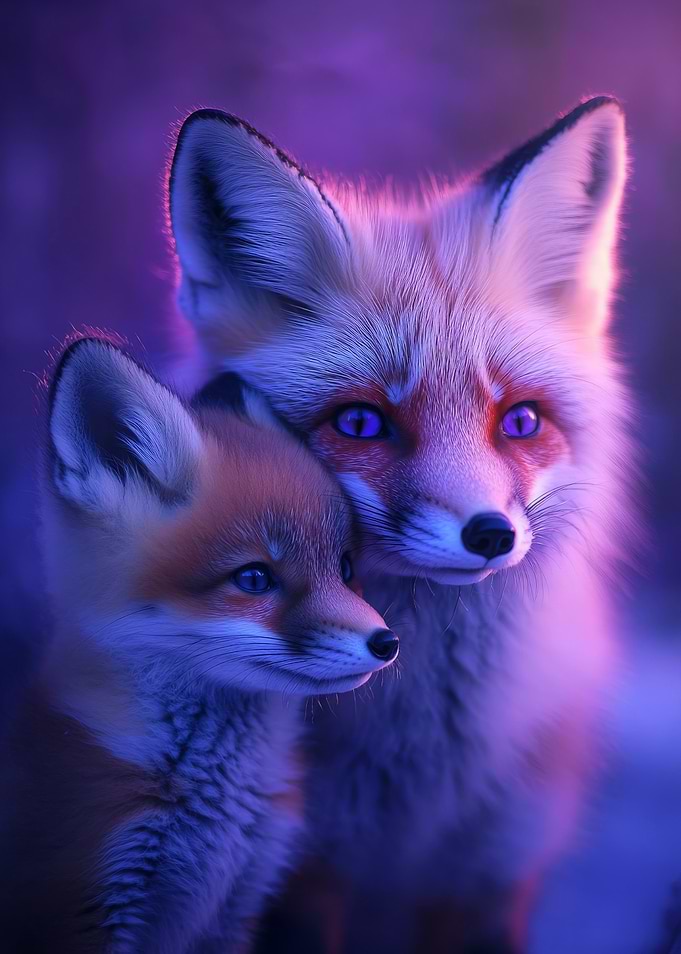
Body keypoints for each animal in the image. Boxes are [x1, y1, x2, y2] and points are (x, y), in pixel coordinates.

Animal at [0, 336, 398, 953]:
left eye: (346, 568)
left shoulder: (235, 908)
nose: (387, 642)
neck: (219, 814)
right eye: (254, 578)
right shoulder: (80, 902)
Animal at [166, 97, 635, 951]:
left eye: (519, 421)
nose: (489, 535)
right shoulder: (302, 874)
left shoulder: (492, 872)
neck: (416, 780)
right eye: (361, 422)